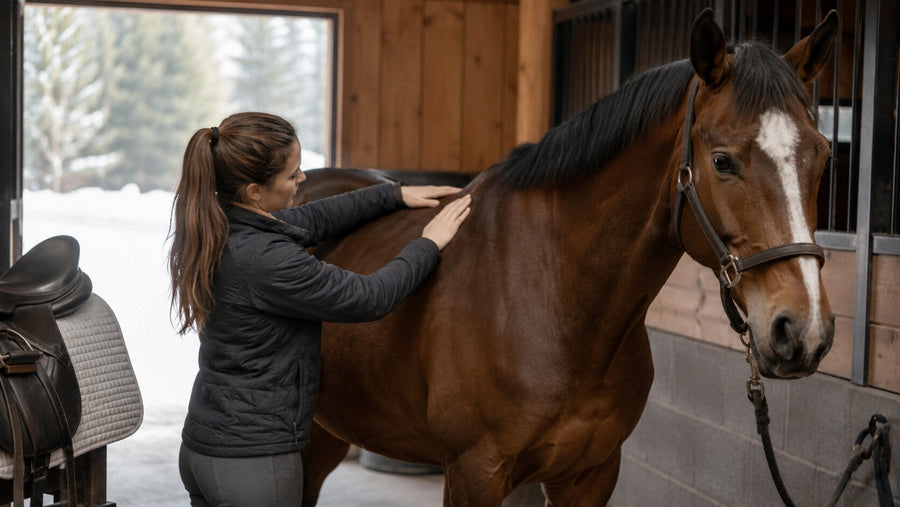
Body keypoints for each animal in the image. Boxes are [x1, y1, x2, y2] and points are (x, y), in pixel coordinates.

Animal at [298, 9, 838, 505]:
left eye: (824, 155)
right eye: (723, 161)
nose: (803, 330)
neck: (561, 302)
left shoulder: (590, 474)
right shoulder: (474, 473)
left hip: (323, 431)